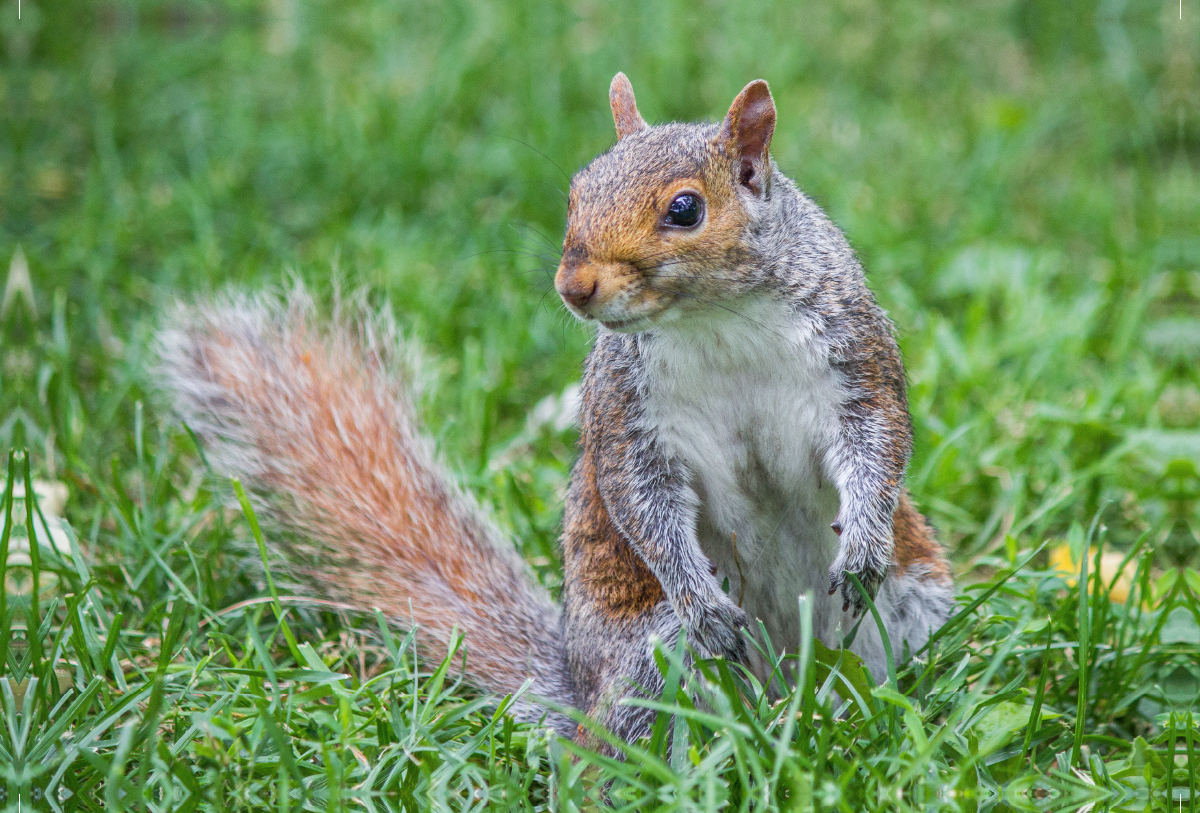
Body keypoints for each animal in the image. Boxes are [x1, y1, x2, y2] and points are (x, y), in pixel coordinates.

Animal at [157, 73, 945, 748]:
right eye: (577, 191)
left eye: (685, 208)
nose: (574, 285)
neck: (715, 319)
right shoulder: (625, 416)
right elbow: (642, 503)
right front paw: (704, 603)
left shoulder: (856, 357)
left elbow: (878, 443)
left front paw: (863, 545)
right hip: (652, 655)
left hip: (914, 601)